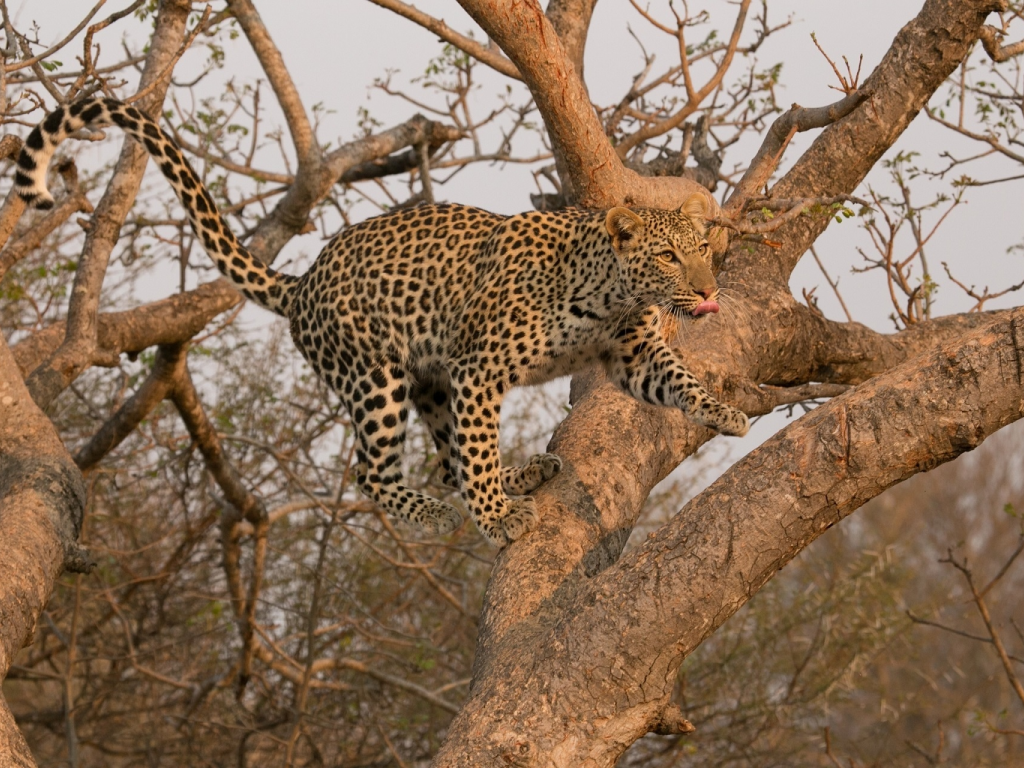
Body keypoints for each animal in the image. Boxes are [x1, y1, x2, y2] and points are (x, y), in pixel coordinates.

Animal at [16, 97, 749, 548]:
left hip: (428, 381)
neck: (608, 294)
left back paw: (518, 475)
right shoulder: (478, 369)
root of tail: (303, 282)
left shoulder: (632, 355)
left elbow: (678, 380)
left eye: (701, 248)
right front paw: (495, 520)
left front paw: (725, 413)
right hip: (378, 377)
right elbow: (475, 450)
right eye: (667, 256)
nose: (708, 289)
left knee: (448, 459)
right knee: (380, 473)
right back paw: (445, 506)